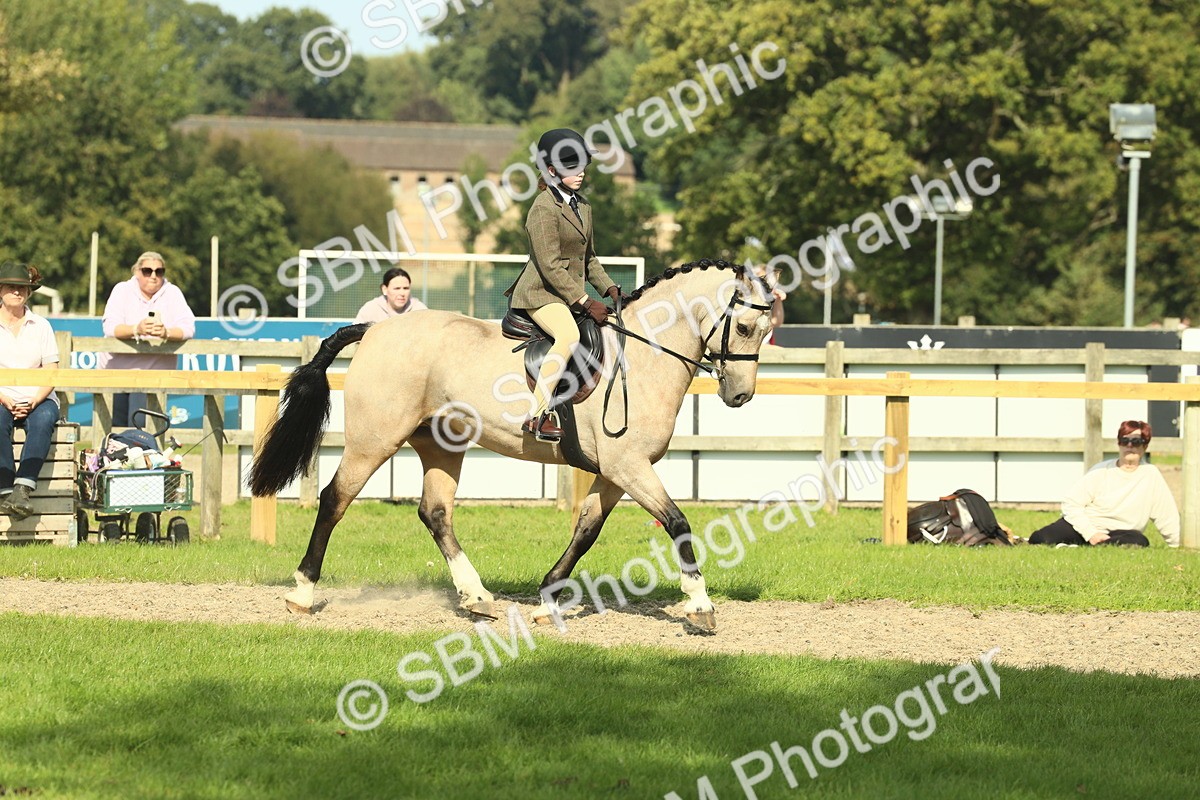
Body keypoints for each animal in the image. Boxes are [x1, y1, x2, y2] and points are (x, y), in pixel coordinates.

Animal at [249, 259, 775, 631]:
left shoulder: (616, 472)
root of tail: (377, 329)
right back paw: (301, 593)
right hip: (374, 439)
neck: (641, 357)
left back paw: (477, 597)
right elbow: (678, 522)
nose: (740, 395)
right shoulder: (629, 467)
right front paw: (700, 606)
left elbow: (586, 531)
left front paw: (546, 601)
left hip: (441, 444)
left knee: (435, 512)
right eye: (745, 327)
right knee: (335, 499)